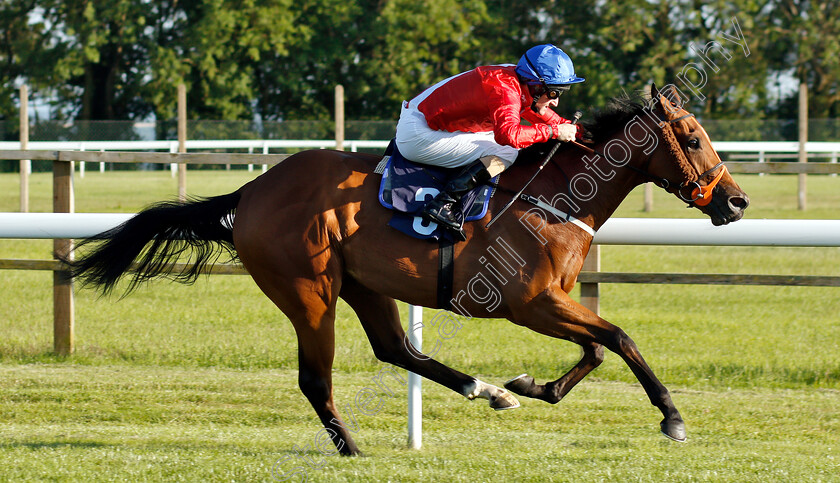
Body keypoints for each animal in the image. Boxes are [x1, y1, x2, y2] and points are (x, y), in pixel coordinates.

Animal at [65, 86, 748, 454]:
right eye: (690, 136)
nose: (737, 202)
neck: (550, 199)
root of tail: (251, 192)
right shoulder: (527, 303)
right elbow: (620, 339)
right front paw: (672, 418)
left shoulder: (552, 300)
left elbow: (600, 347)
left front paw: (532, 386)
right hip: (308, 290)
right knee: (315, 377)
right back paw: (350, 447)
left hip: (365, 286)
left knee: (396, 348)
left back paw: (488, 391)